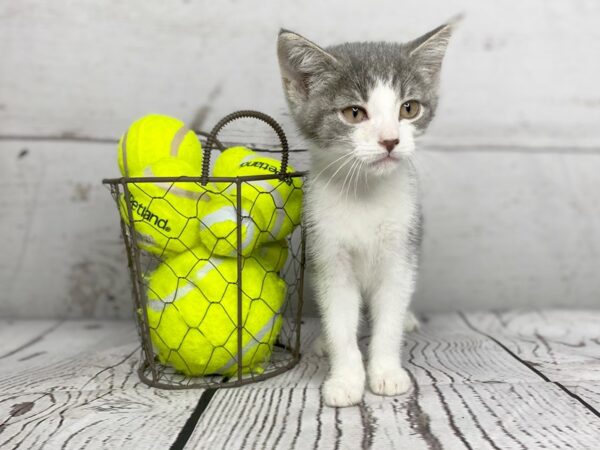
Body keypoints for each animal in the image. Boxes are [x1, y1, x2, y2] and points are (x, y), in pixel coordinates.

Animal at [278, 20, 458, 408]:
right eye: (354, 113)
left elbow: (388, 318)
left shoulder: (401, 251)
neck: (364, 194)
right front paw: (346, 379)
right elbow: (340, 322)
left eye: (409, 108)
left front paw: (386, 372)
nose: (390, 140)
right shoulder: (327, 253)